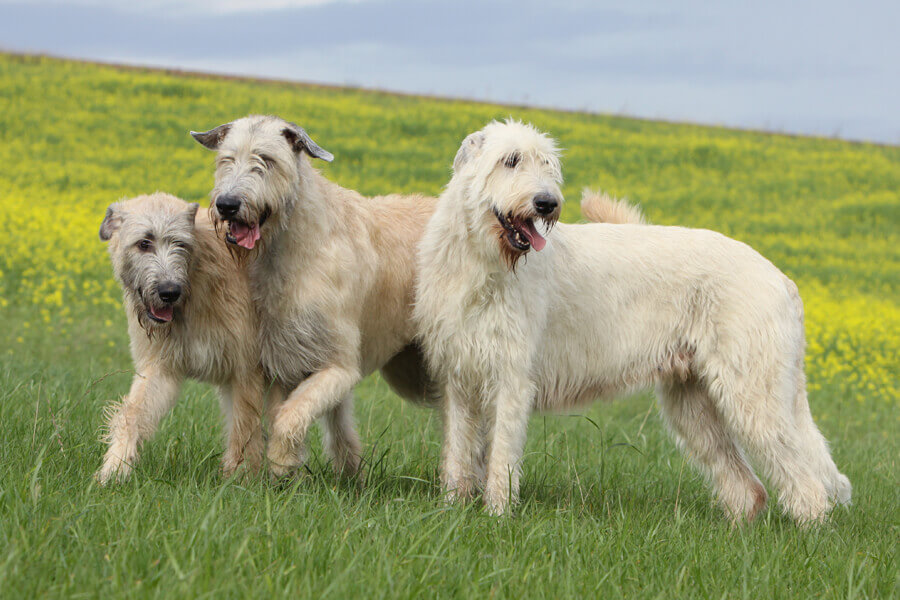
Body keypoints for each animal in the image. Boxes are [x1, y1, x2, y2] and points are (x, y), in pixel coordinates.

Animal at [99, 192, 268, 482]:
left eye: (180, 243)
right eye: (144, 243)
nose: (169, 292)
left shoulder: (247, 370)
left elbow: (244, 427)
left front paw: (239, 480)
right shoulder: (159, 367)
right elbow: (134, 412)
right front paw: (116, 467)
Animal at [193, 115, 440, 476]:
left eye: (266, 160)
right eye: (226, 159)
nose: (227, 205)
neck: (297, 243)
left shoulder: (338, 365)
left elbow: (291, 414)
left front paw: (282, 461)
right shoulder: (283, 358)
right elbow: (285, 410)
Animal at [414, 119, 852, 524]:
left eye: (547, 164)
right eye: (510, 160)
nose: (547, 203)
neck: (482, 261)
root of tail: (782, 279)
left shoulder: (512, 377)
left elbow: (502, 452)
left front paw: (497, 516)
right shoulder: (458, 377)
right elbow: (457, 450)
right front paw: (451, 511)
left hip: (752, 390)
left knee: (803, 478)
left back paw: (809, 532)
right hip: (694, 403)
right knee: (748, 486)